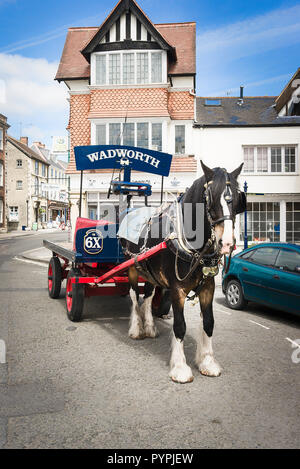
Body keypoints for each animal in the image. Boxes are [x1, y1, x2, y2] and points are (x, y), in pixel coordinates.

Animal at [119, 160, 246, 380]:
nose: (227, 243)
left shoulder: (208, 287)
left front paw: (207, 361)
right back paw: (136, 329)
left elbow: (209, 323)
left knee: (149, 296)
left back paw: (150, 327)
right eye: (211, 197)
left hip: (150, 273)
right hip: (132, 267)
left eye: (238, 199)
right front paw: (180, 367)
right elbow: (180, 326)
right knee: (135, 296)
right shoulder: (177, 290)